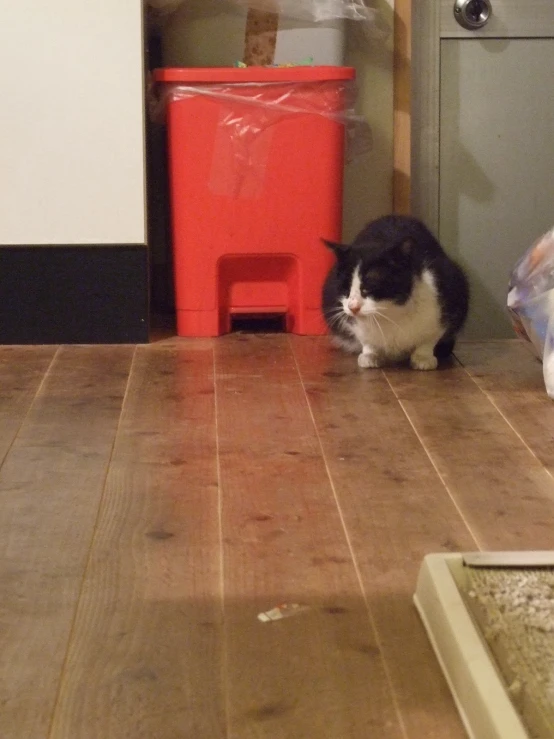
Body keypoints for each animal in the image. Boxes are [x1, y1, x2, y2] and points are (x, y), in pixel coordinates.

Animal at [322, 217, 468, 372]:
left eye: (369, 287)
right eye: (345, 288)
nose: (353, 307)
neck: (389, 315)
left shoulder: (447, 297)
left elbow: (428, 340)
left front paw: (423, 358)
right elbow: (366, 340)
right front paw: (370, 355)